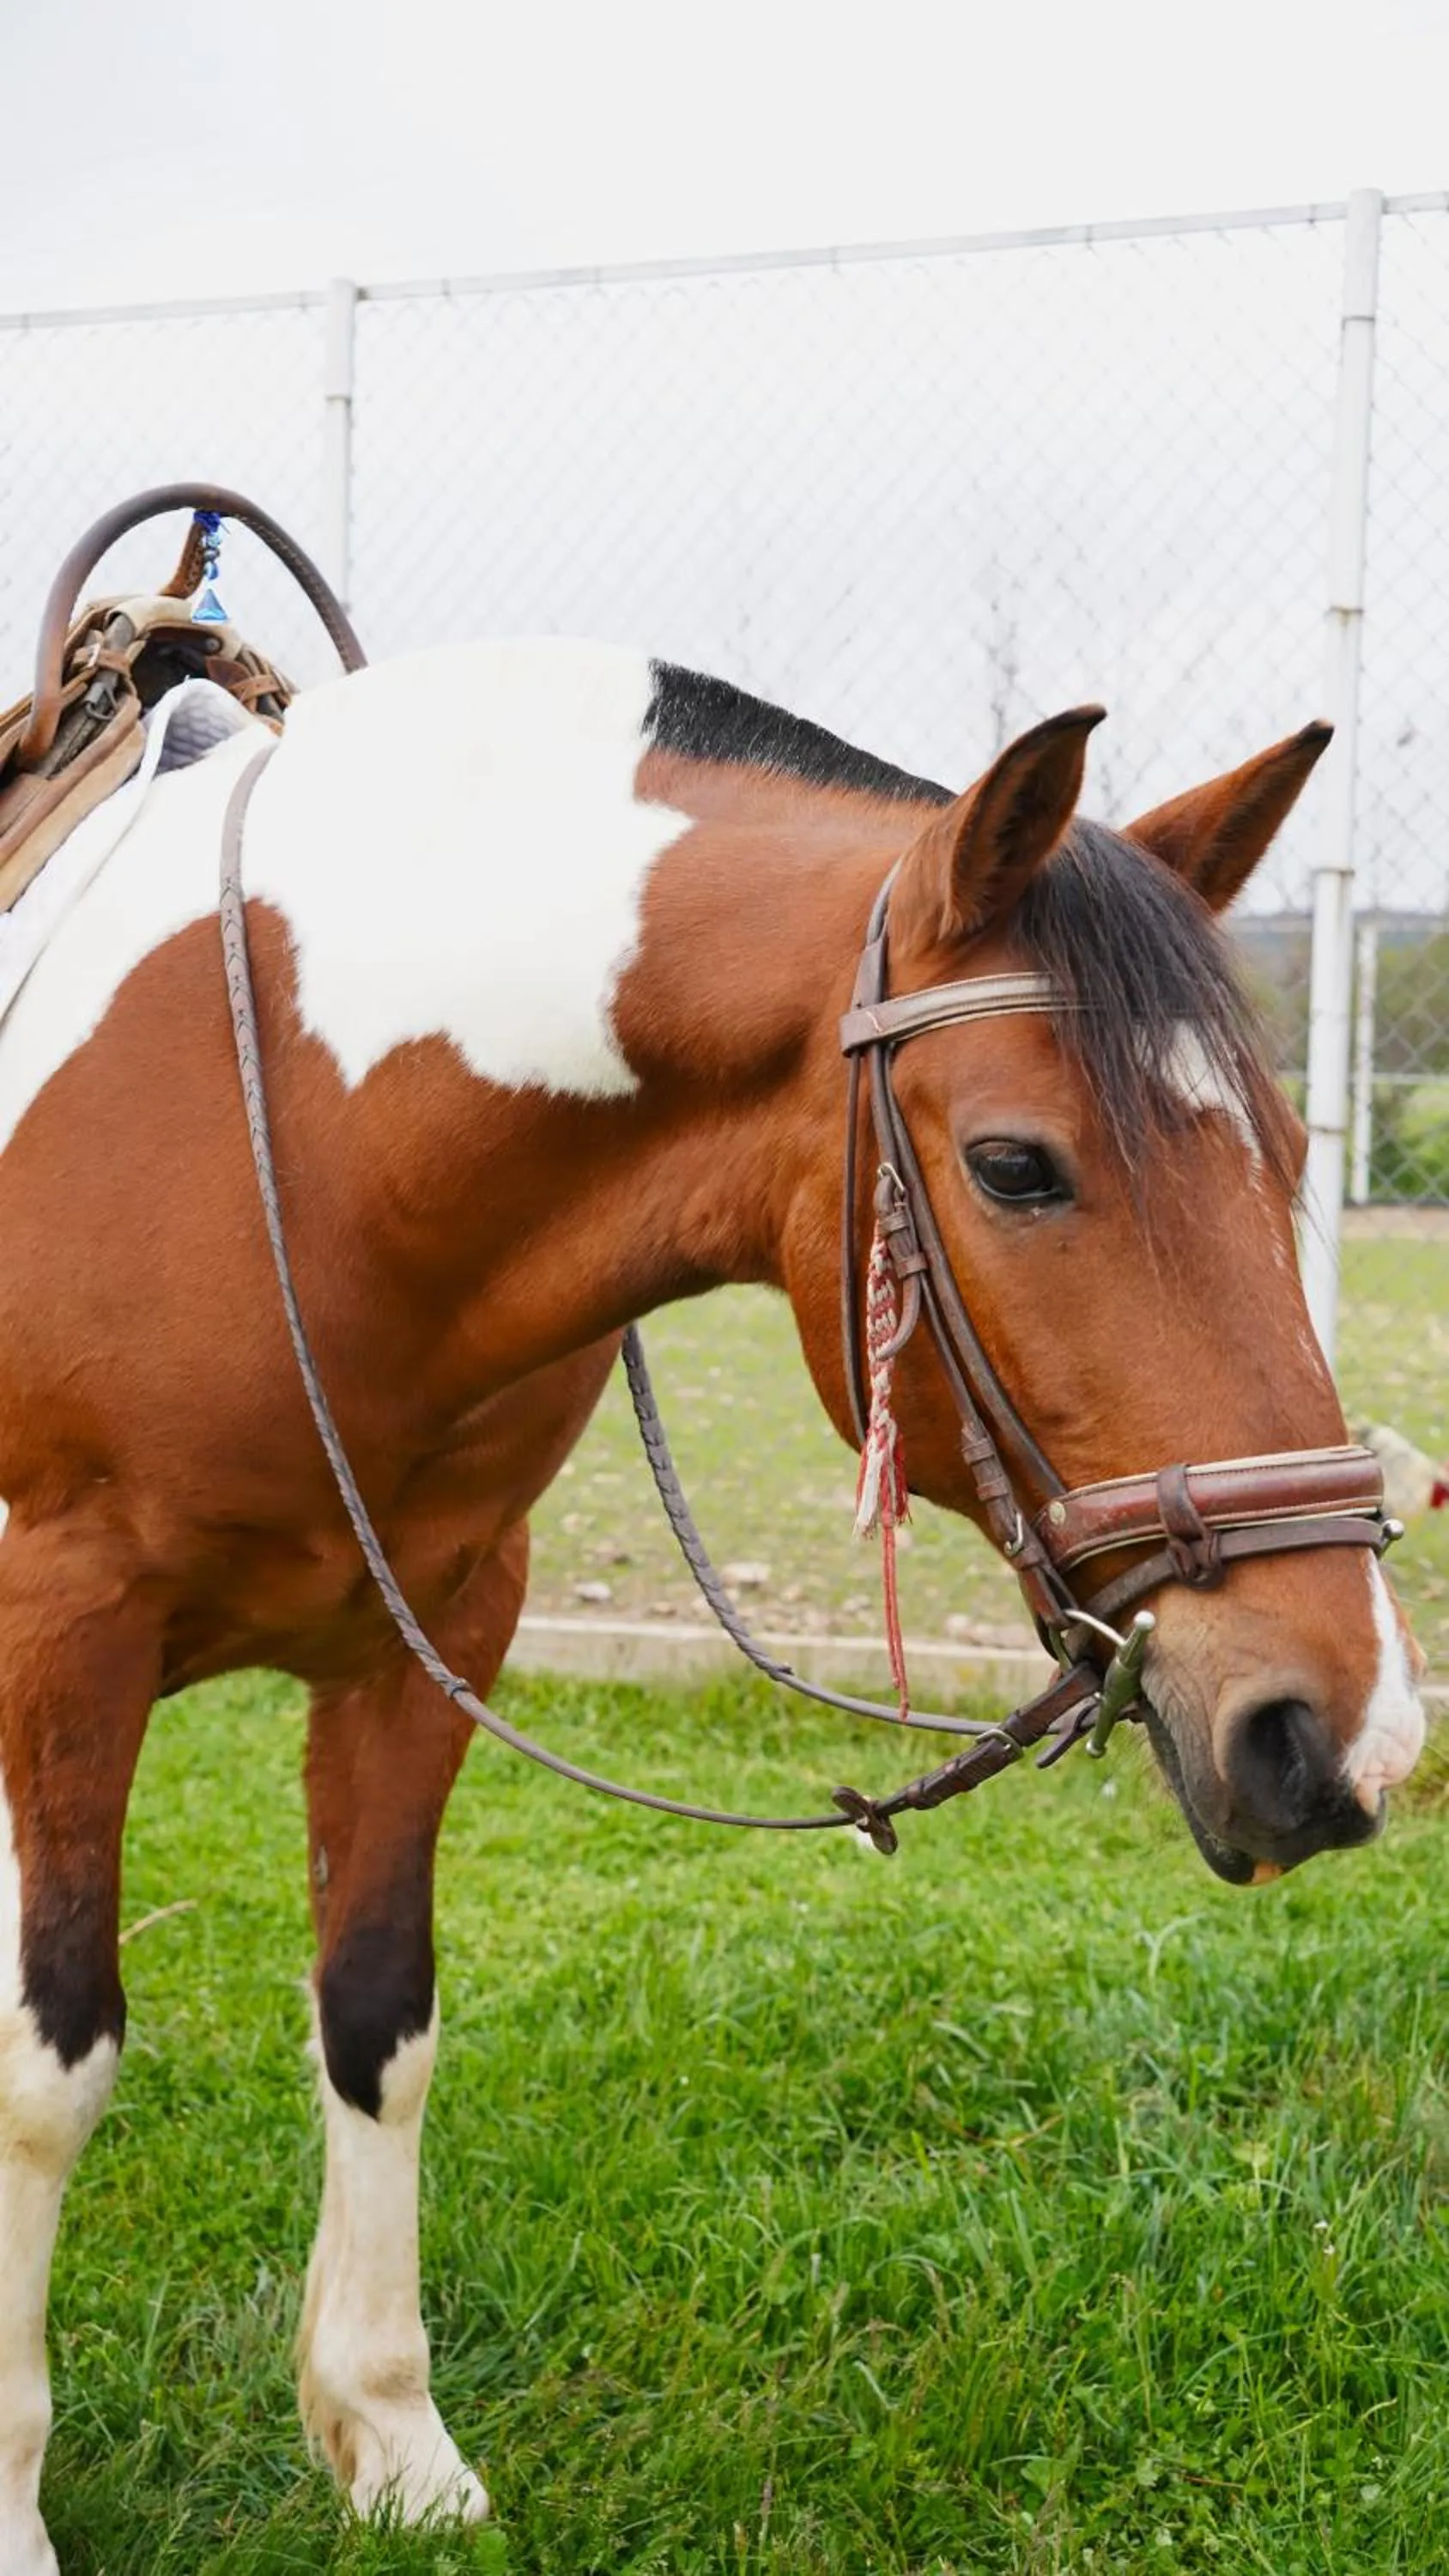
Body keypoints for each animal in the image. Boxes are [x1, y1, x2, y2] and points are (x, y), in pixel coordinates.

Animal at [0, 633, 1425, 2565]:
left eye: (1285, 1152)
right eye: (1016, 1166)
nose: (1342, 1732)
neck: (283, 1133)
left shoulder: (432, 1635)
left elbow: (379, 2015)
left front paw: (391, 2439)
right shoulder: (60, 1634)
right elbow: (50, 2067)